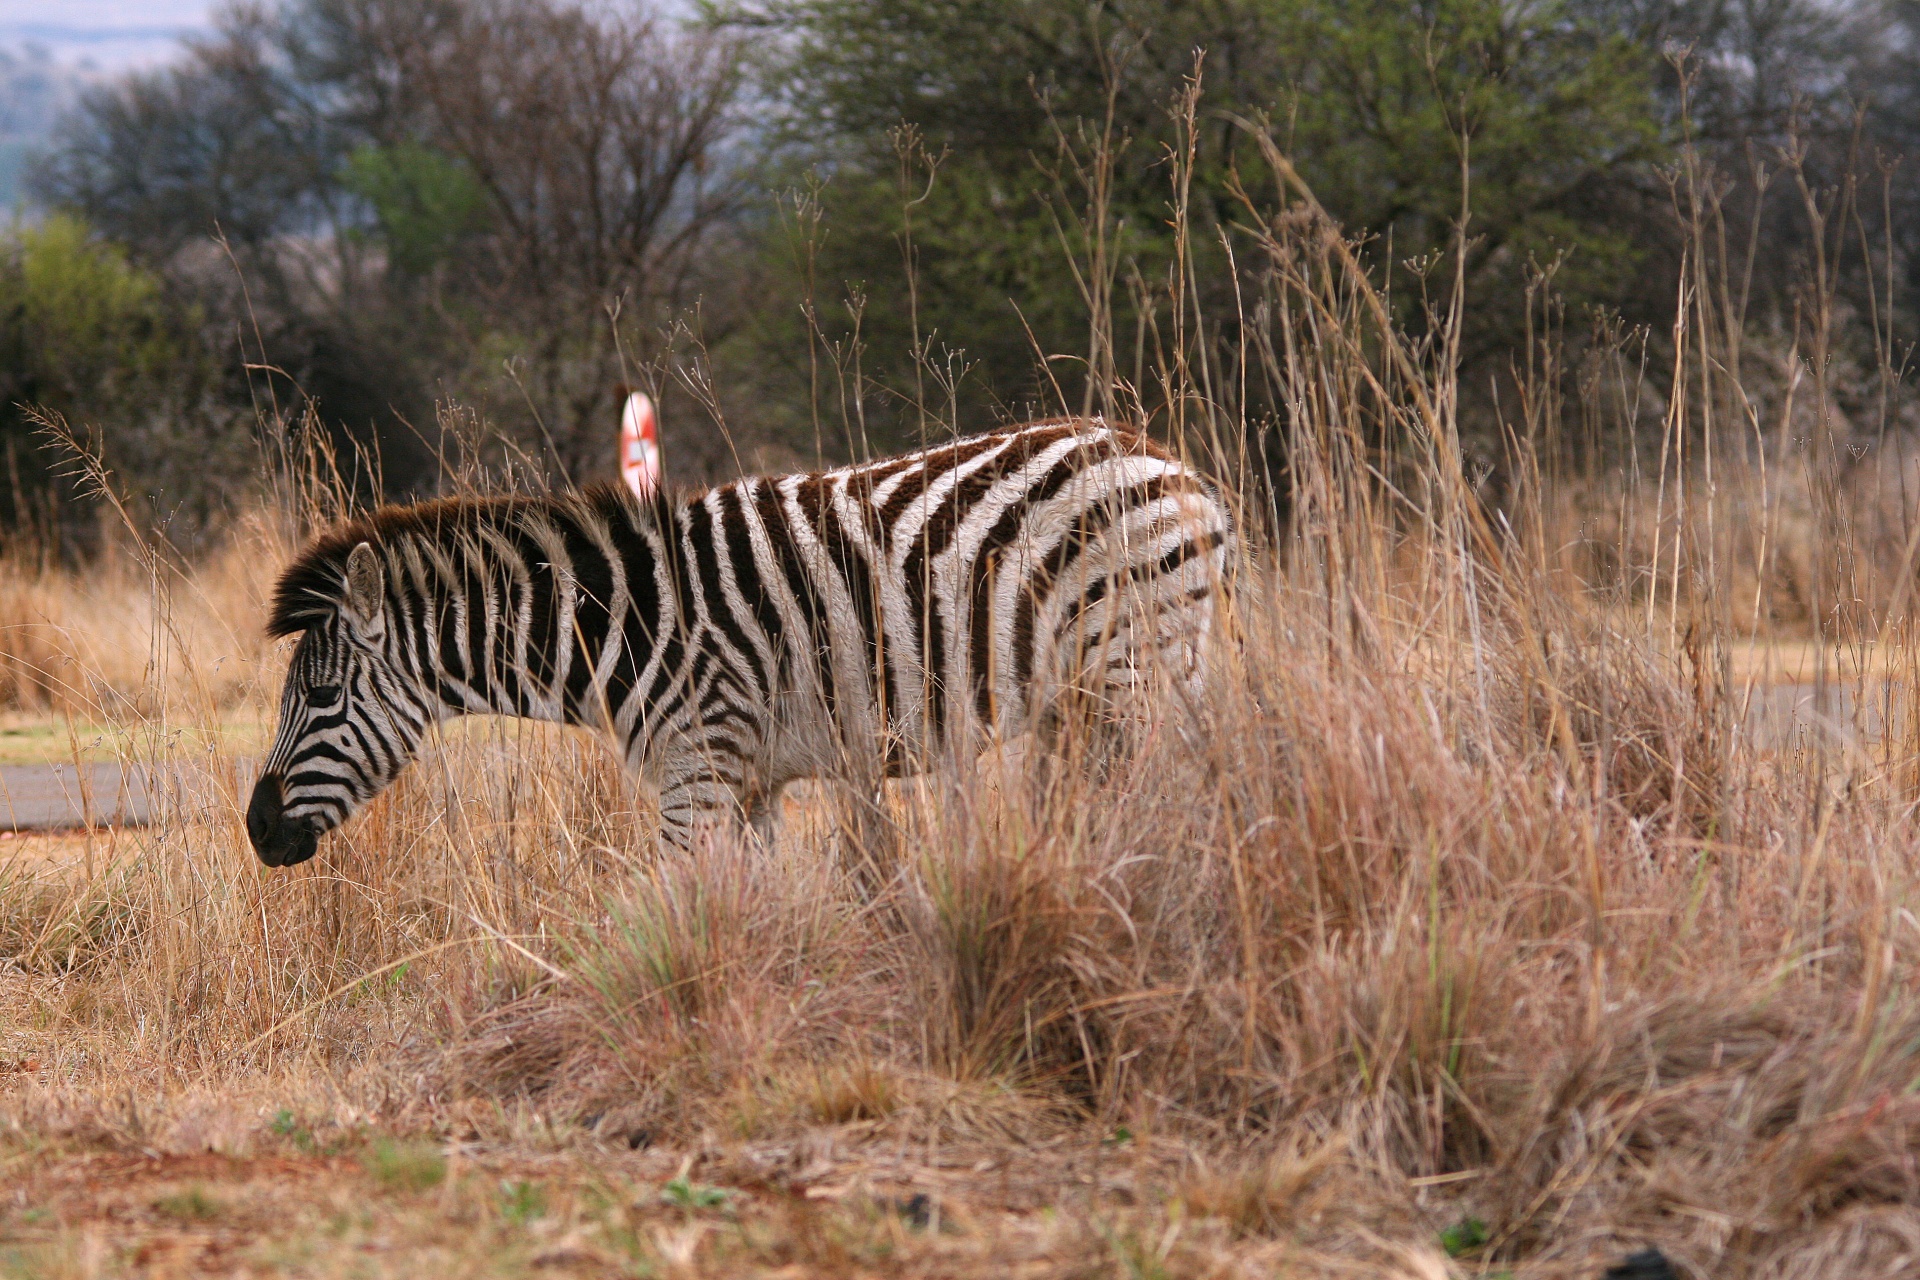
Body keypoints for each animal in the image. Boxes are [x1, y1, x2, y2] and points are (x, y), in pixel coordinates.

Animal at [243, 420, 1228, 871]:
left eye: (321, 700)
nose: (256, 830)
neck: (621, 626)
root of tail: (1172, 464)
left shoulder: (699, 771)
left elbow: (674, 907)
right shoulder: (750, 782)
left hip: (1138, 671)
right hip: (1099, 693)